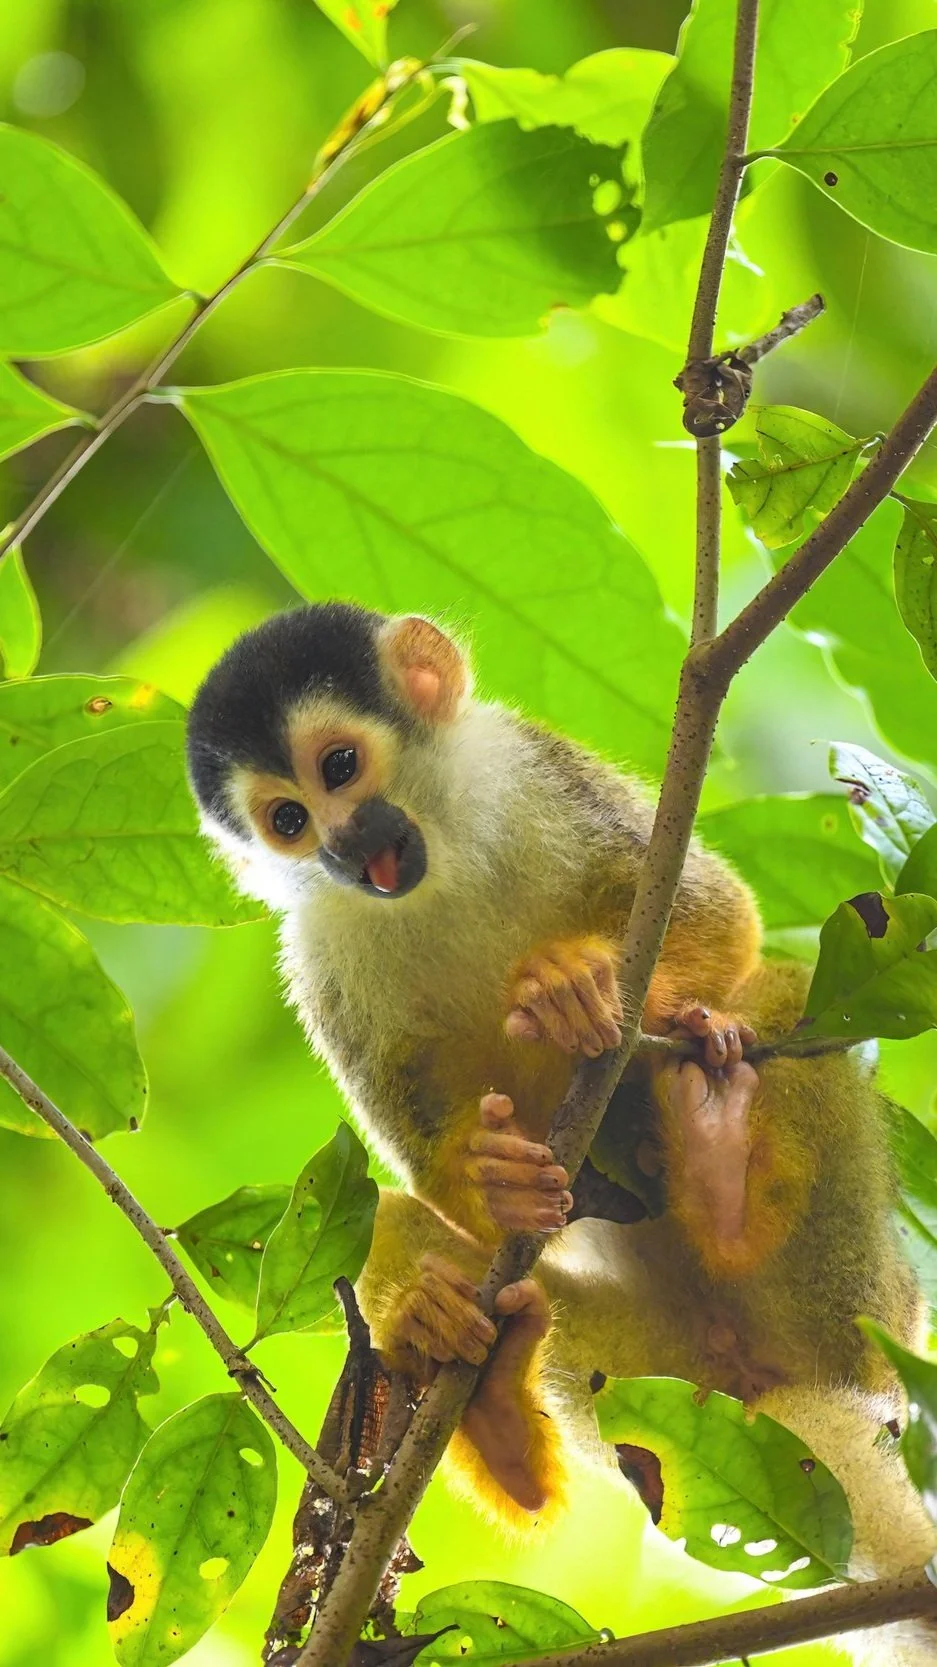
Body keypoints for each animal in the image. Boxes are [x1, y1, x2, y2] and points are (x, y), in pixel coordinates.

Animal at [187, 602, 935, 1663]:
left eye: (337, 766)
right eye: (285, 820)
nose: (338, 842)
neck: (438, 861)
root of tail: (771, 1382)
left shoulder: (534, 769)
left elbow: (722, 915)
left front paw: (581, 986)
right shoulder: (320, 946)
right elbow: (417, 1160)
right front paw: (493, 1177)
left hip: (861, 1309)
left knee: (783, 992)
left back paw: (724, 1179)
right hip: (636, 1372)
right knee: (388, 1220)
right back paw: (490, 1395)